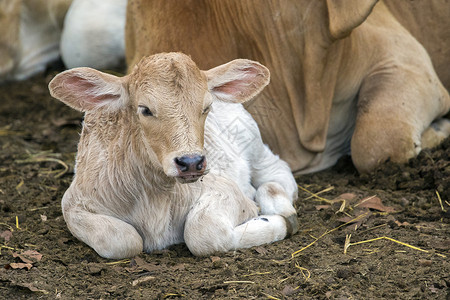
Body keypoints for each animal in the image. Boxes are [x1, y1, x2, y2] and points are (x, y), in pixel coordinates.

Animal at [48, 51, 298, 258]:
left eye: (206, 107)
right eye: (145, 109)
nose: (191, 162)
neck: (154, 195)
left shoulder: (226, 189)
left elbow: (202, 232)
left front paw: (272, 221)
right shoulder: (73, 203)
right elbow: (122, 241)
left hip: (254, 143)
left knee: (276, 170)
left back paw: (281, 208)